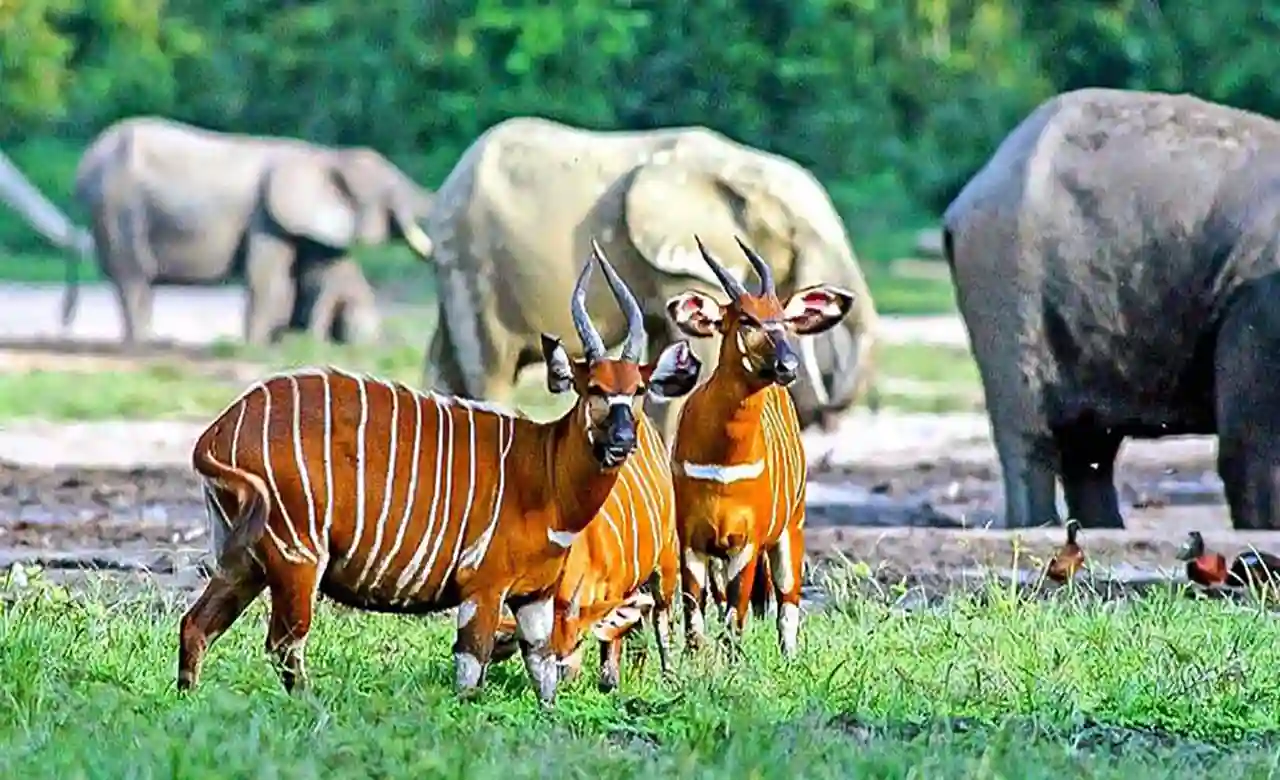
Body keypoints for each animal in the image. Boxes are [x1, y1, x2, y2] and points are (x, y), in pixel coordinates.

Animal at [72, 116, 435, 346]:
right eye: (390, 193)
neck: (323, 155)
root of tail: (85, 162)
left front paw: (284, 342)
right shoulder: (265, 216)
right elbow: (268, 278)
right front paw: (259, 346)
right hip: (117, 207)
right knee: (134, 278)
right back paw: (146, 343)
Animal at [422, 116, 880, 441]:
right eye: (799, 235)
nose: (823, 413)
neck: (740, 166)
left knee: (447, 369)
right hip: (474, 264)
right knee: (491, 370)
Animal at [943, 87, 1280, 531]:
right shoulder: (1259, 302)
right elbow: (1254, 450)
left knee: (1088, 448)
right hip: (1005, 279)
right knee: (1032, 433)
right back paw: (1040, 527)